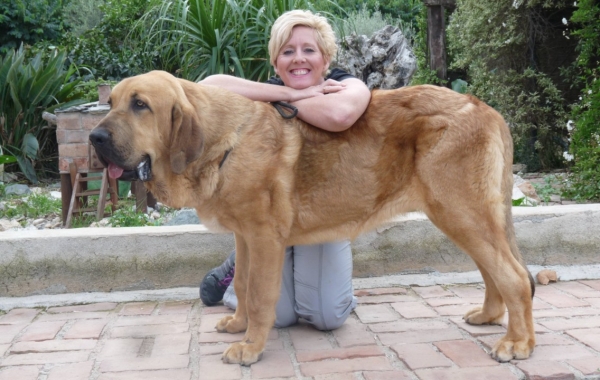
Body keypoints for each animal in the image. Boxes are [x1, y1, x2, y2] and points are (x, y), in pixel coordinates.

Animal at [88, 70, 536, 366]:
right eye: (110, 104)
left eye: (140, 105)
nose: (94, 138)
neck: (223, 143)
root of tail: (486, 108)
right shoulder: (244, 238)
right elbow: (244, 285)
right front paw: (238, 325)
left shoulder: (264, 238)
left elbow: (260, 294)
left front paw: (251, 347)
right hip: (467, 217)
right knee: (496, 272)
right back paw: (490, 317)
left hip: (461, 212)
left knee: (514, 277)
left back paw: (518, 343)